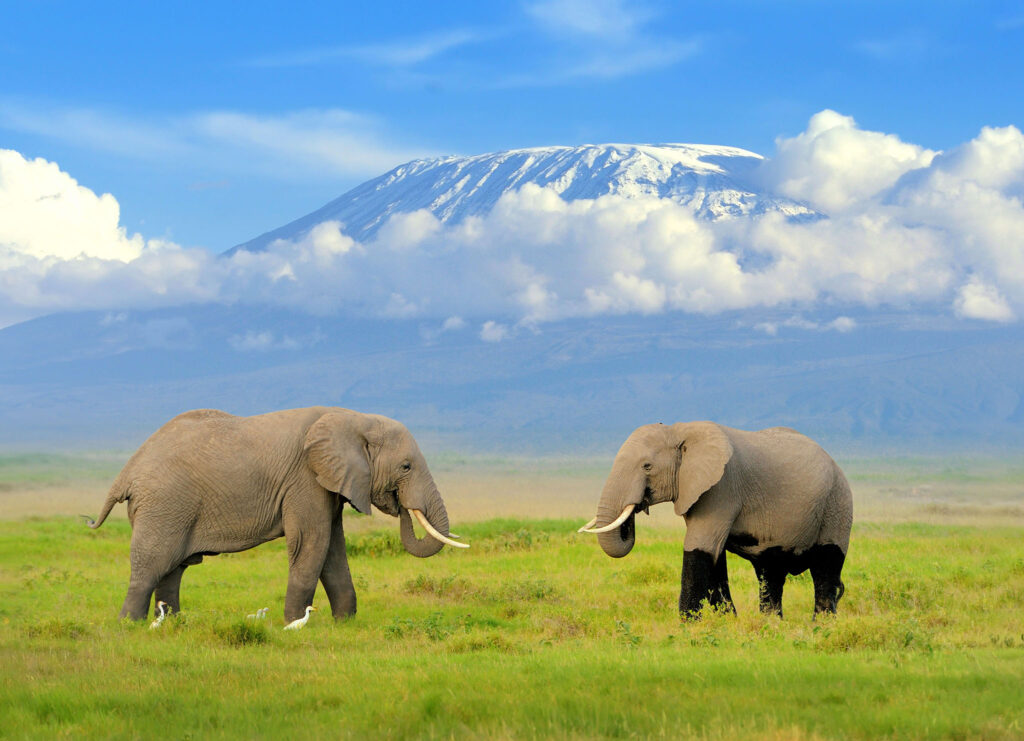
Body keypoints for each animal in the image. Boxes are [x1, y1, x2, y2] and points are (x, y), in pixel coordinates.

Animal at [87, 406, 466, 622]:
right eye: (406, 466)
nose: (400, 504)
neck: (354, 418)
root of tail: (128, 470)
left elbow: (332, 549)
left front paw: (345, 624)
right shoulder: (305, 479)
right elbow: (311, 543)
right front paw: (294, 624)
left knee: (174, 568)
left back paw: (175, 623)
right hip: (164, 505)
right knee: (152, 564)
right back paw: (130, 625)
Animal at [579, 422, 852, 619]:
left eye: (647, 466)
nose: (637, 506)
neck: (680, 430)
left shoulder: (721, 488)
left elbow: (700, 548)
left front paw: (688, 626)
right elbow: (714, 557)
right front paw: (728, 621)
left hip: (837, 504)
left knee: (826, 566)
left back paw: (822, 626)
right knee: (770, 574)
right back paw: (772, 624)